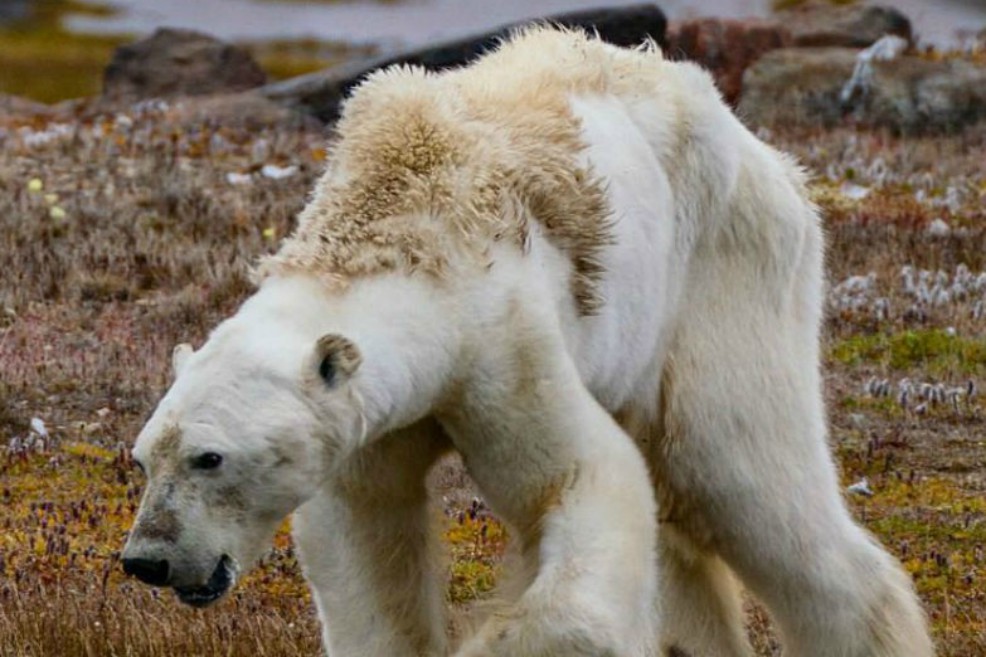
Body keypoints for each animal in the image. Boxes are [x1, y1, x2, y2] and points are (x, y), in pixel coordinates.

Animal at [121, 27, 933, 657]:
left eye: (209, 456)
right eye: (144, 455)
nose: (147, 559)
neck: (398, 227)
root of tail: (769, 157)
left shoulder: (501, 342)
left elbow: (582, 480)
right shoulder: (369, 419)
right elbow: (363, 533)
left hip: (724, 271)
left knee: (739, 468)